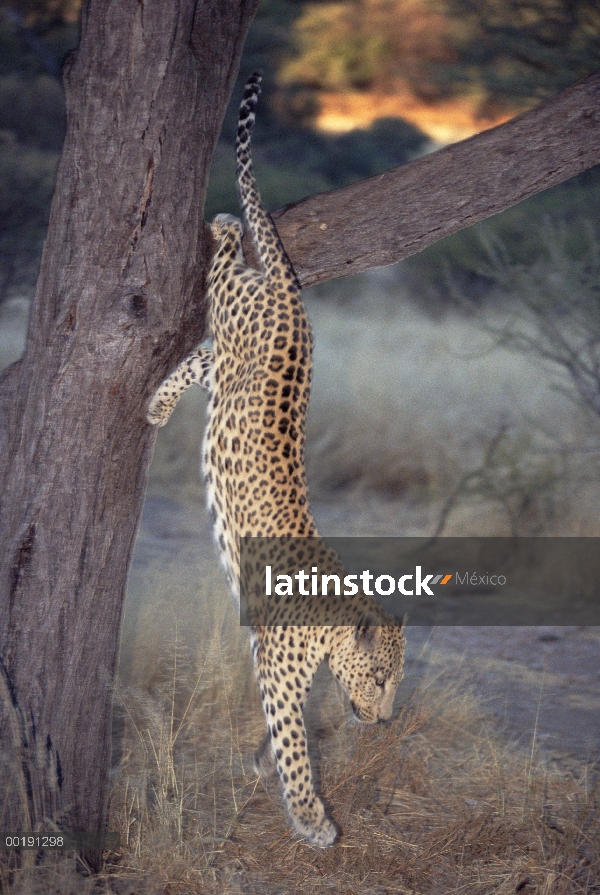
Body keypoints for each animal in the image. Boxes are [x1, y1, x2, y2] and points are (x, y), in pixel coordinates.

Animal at [147, 70, 406, 848]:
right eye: (380, 679)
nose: (384, 720)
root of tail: (293, 296)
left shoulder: (278, 668)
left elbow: (280, 733)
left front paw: (264, 766)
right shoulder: (281, 667)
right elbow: (295, 742)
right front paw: (314, 818)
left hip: (231, 360)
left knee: (201, 357)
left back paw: (157, 405)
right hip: (232, 305)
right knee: (225, 263)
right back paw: (224, 225)